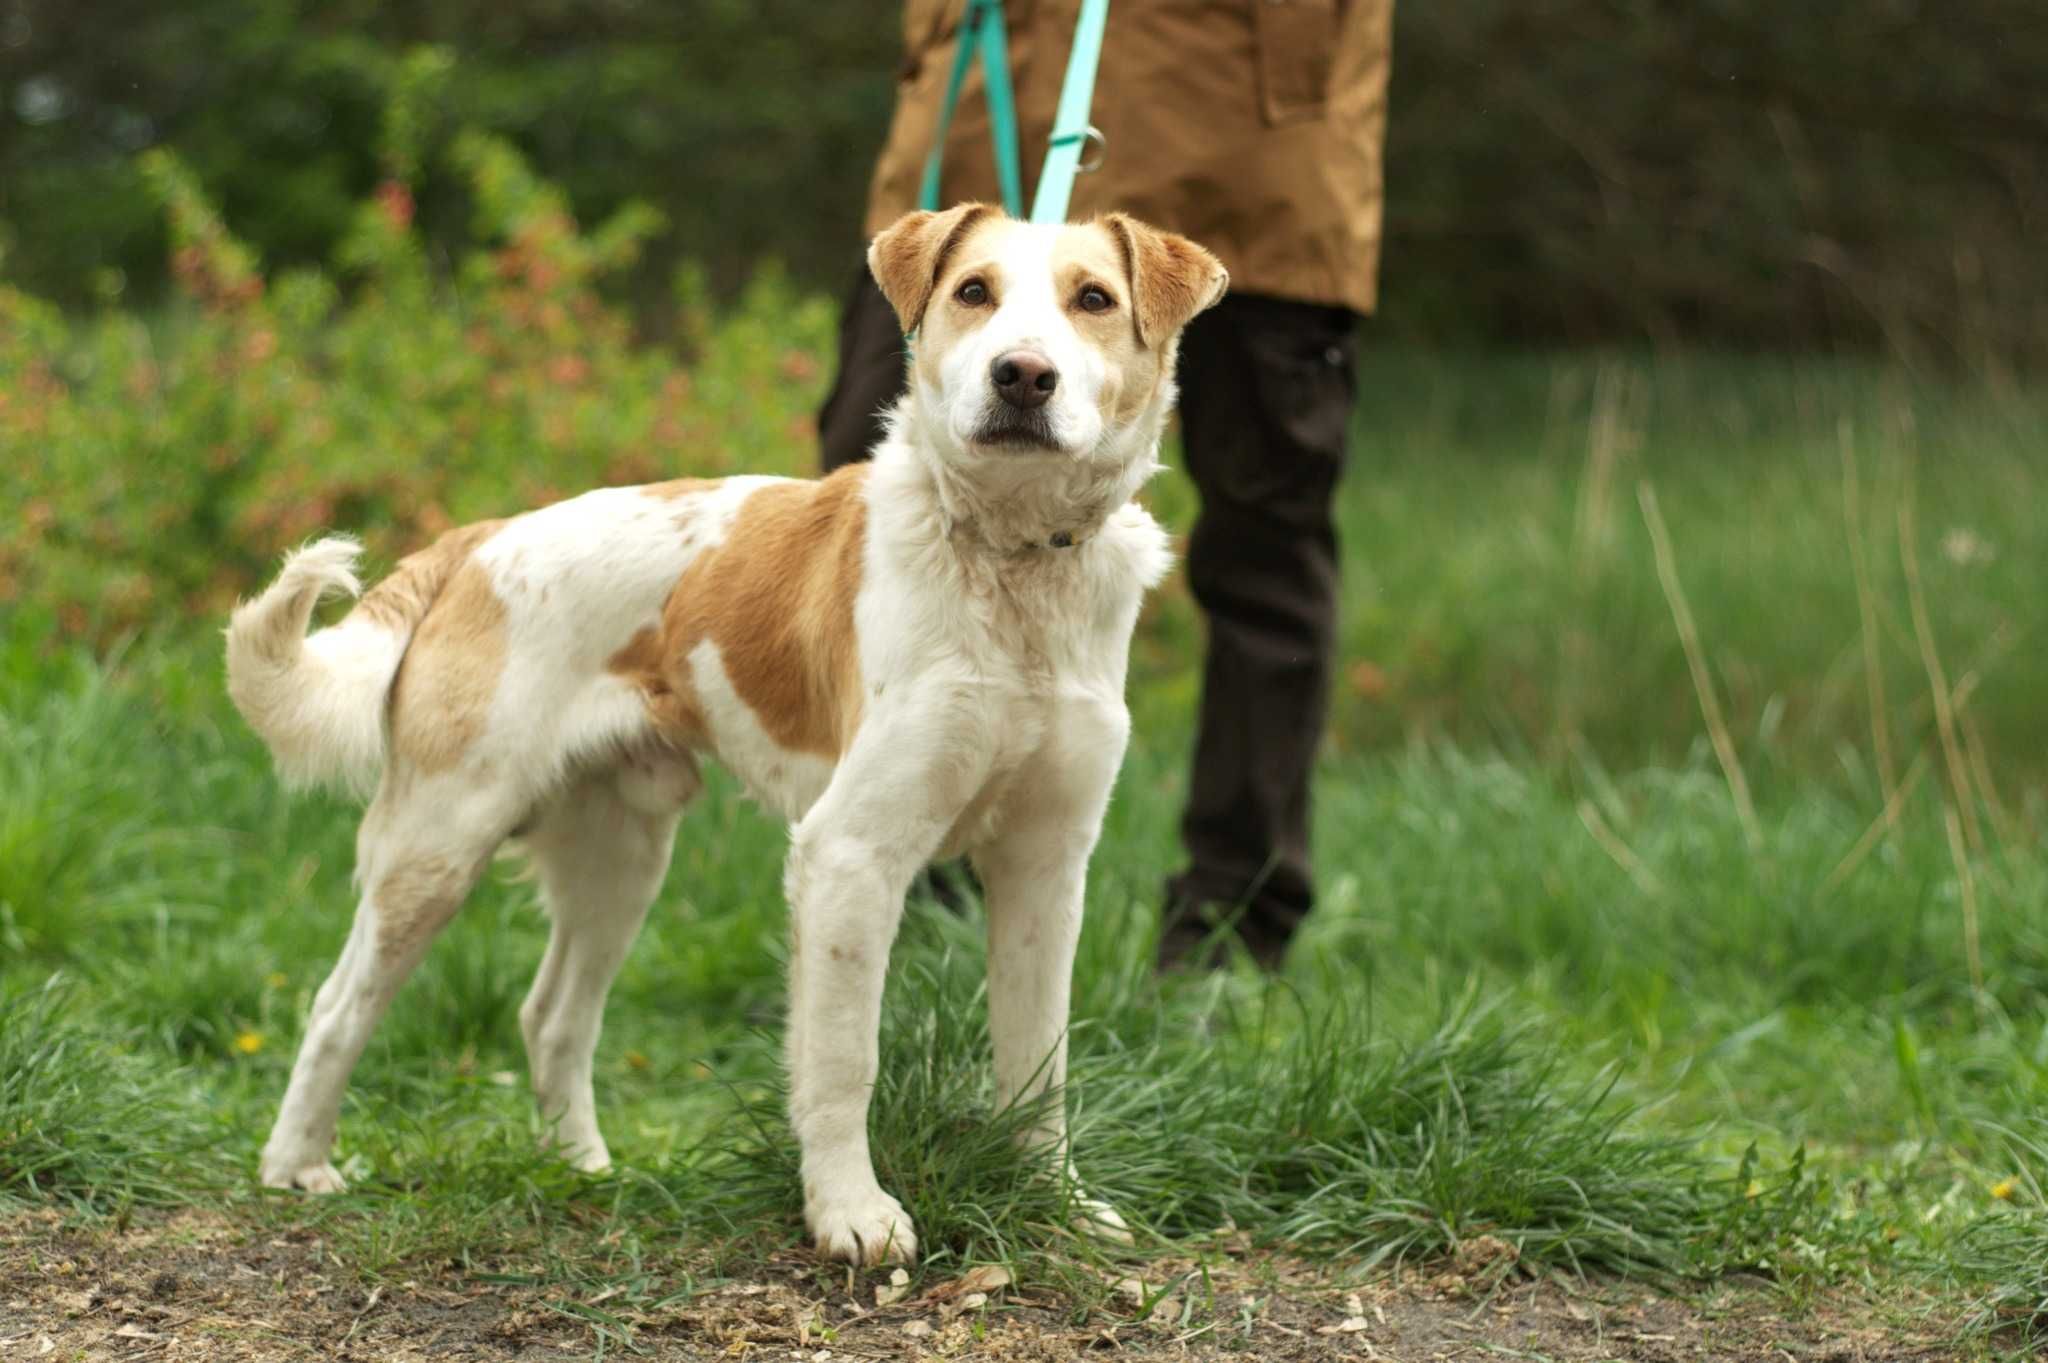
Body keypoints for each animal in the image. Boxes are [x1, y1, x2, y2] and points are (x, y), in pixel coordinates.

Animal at [224, 204, 1220, 1260]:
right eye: (973, 292)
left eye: (1093, 299)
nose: (1023, 375)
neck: (1013, 565)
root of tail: (486, 536)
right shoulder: (849, 853)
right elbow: (843, 1061)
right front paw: (851, 1215)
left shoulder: (1046, 863)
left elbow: (1039, 1063)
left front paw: (1057, 1207)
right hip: (437, 846)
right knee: (338, 1005)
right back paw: (296, 1166)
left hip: (620, 856)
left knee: (550, 1015)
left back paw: (584, 1169)